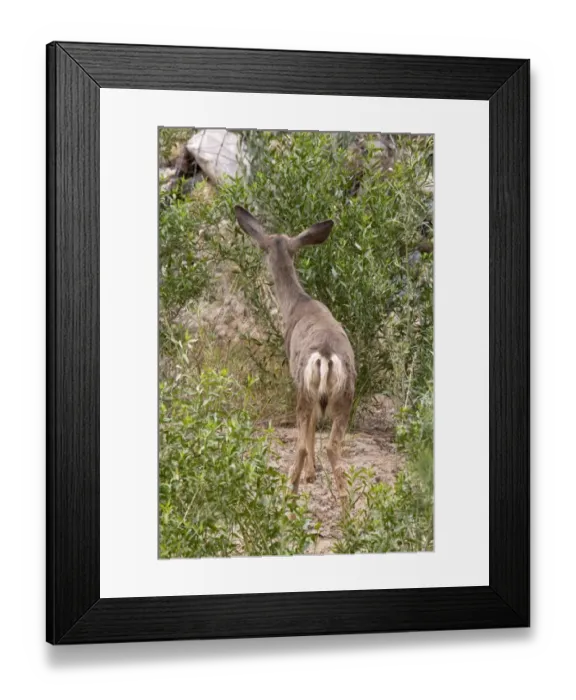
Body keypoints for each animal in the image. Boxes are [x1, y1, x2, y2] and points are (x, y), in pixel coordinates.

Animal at [234, 206, 356, 505]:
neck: (296, 303)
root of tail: (326, 355)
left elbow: (309, 429)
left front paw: (310, 475)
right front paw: (313, 473)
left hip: (304, 388)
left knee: (300, 444)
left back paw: (291, 497)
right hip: (346, 395)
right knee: (334, 446)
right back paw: (349, 511)